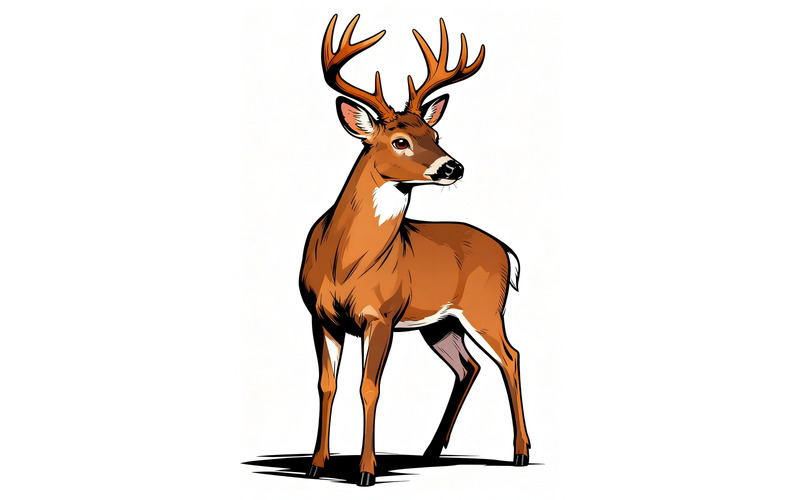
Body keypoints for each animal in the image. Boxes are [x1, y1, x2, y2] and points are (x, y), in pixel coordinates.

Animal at [299, 14, 531, 486]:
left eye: (435, 132)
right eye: (400, 141)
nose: (453, 166)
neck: (345, 262)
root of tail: (506, 251)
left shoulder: (381, 315)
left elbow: (369, 387)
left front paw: (366, 472)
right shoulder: (320, 316)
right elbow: (326, 385)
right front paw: (316, 464)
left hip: (484, 307)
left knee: (511, 358)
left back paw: (520, 452)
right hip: (441, 323)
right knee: (469, 366)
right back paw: (432, 449)